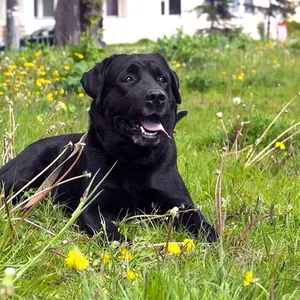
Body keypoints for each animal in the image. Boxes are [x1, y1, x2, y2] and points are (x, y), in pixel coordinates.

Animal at [0, 52, 217, 243]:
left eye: (162, 79)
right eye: (128, 78)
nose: (157, 96)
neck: (133, 160)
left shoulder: (182, 205)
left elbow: (204, 226)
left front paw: (214, 244)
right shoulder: (91, 207)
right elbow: (110, 233)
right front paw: (124, 247)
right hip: (24, 171)